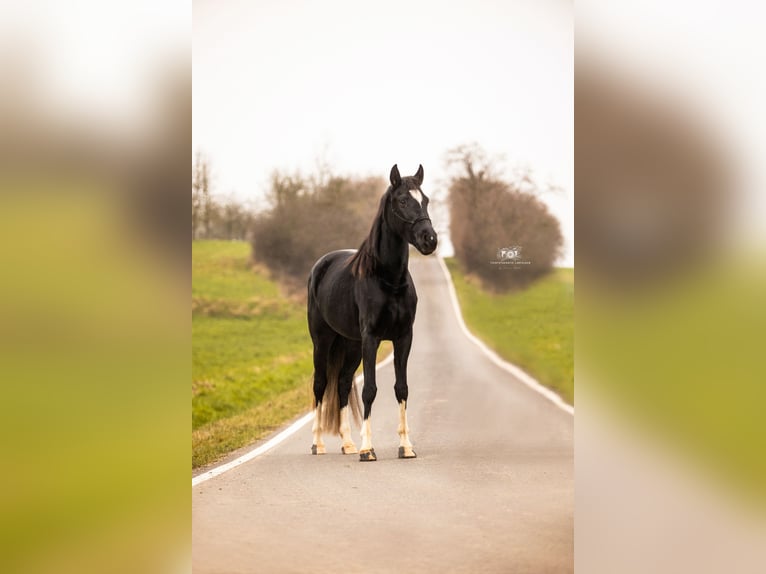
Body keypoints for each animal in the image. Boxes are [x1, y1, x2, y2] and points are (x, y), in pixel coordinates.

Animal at [306, 164, 438, 462]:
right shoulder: (372, 338)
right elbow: (370, 390)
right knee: (320, 384)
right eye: (403, 200)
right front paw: (368, 448)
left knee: (342, 383)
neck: (388, 279)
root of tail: (321, 266)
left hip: (350, 344)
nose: (430, 240)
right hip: (323, 340)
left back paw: (347, 443)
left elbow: (401, 388)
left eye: (424, 199)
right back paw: (318, 444)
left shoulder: (403, 338)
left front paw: (406, 447)